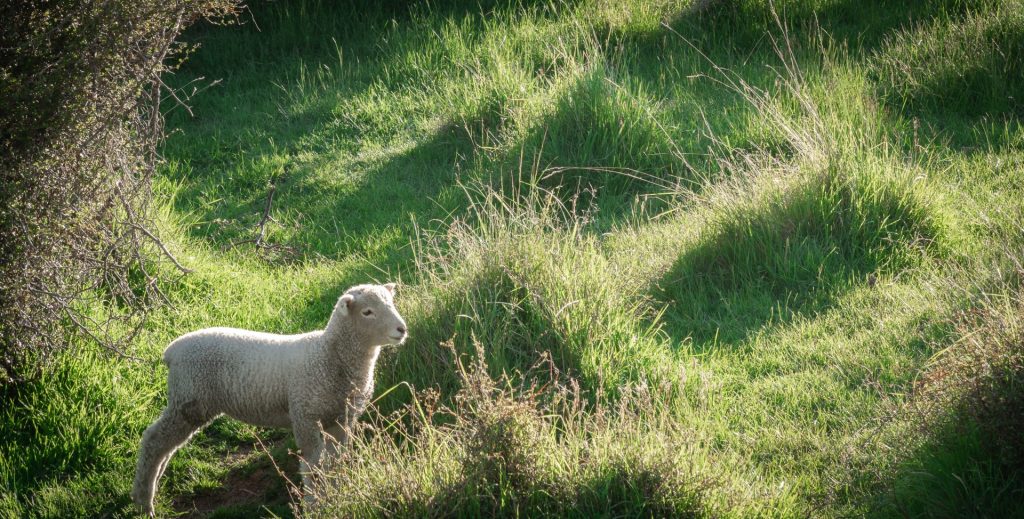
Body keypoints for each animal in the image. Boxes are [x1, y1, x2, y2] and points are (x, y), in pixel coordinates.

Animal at [130, 283, 407, 516]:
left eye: (391, 304)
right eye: (368, 312)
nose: (402, 329)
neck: (329, 354)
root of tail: (172, 350)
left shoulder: (342, 418)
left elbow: (334, 462)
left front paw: (337, 493)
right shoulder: (305, 414)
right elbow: (313, 464)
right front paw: (315, 505)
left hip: (190, 402)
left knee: (167, 445)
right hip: (188, 399)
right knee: (154, 440)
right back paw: (143, 501)